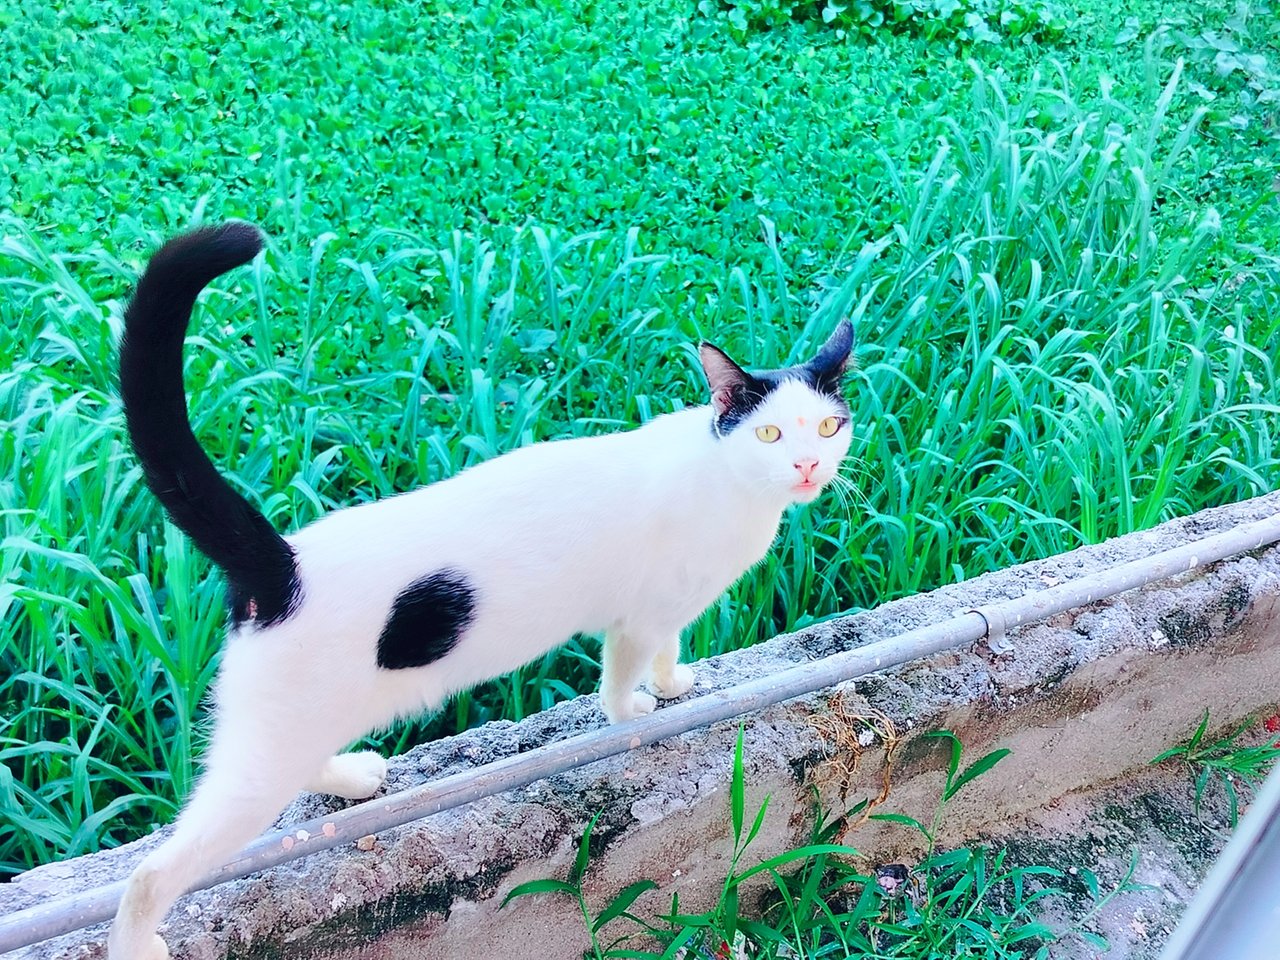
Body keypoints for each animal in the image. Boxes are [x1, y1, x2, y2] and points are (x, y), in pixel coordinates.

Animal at [108, 222, 854, 959]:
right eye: (767, 433)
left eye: (827, 426)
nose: (808, 465)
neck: (729, 479)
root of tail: (282, 561)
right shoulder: (640, 617)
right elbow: (620, 682)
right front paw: (639, 710)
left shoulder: (668, 605)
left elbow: (669, 648)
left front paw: (673, 684)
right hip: (267, 750)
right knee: (152, 872)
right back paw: (140, 940)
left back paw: (353, 776)